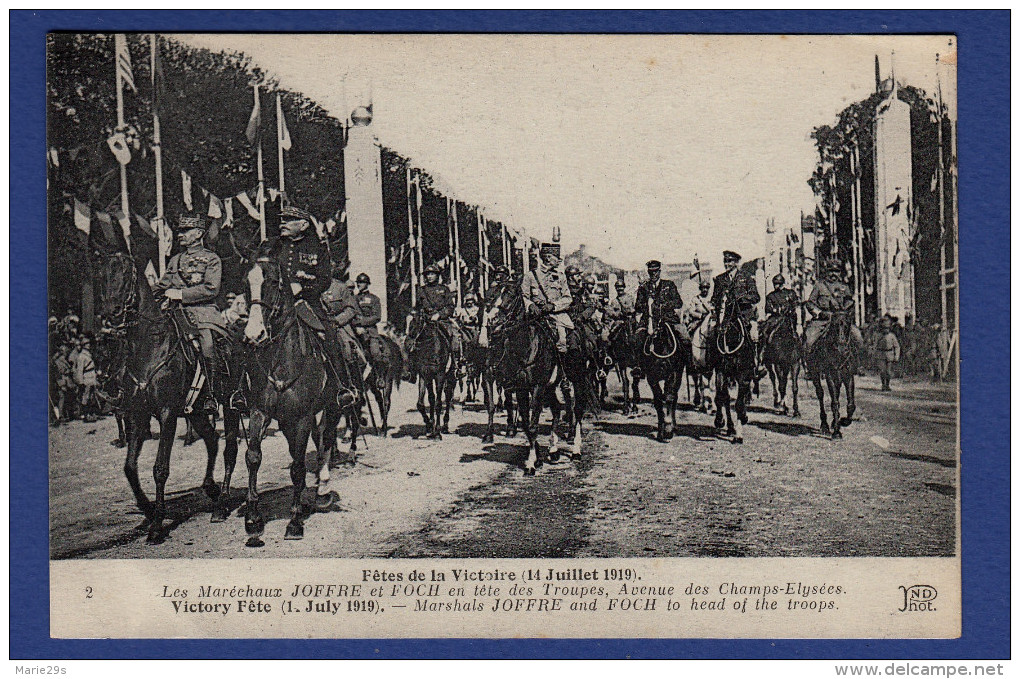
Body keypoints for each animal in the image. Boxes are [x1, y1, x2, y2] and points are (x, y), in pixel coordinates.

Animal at [98, 250, 242, 542]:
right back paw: (210, 488)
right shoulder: (138, 414)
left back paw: (221, 504)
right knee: (212, 441)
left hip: (229, 405)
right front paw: (147, 509)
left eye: (125, 274)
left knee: (229, 451)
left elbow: (160, 469)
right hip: (196, 412)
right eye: (102, 276)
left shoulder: (166, 415)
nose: (111, 315)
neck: (150, 346)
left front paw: (156, 524)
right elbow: (130, 467)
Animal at [241, 256, 361, 542]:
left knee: (326, 439)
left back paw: (322, 488)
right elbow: (253, 457)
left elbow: (297, 466)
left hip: (333, 406)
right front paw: (253, 518)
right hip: (287, 421)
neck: (280, 358)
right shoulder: (260, 412)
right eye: (245, 283)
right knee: (317, 439)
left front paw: (294, 521)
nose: (253, 336)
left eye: (272, 281)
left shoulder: (302, 417)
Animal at [485, 283, 591, 473]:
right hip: (550, 387)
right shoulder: (521, 389)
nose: (492, 321)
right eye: (492, 295)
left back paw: (576, 450)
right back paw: (554, 450)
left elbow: (534, 425)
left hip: (577, 379)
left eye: (511, 295)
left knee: (578, 410)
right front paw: (535, 459)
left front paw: (530, 464)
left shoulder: (537, 387)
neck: (526, 346)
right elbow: (527, 425)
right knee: (556, 409)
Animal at [709, 307, 758, 442]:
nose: (720, 329)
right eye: (715, 305)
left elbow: (739, 404)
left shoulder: (744, 375)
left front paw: (739, 434)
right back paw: (730, 426)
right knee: (725, 398)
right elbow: (721, 397)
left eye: (729, 305)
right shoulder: (721, 371)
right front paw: (719, 420)